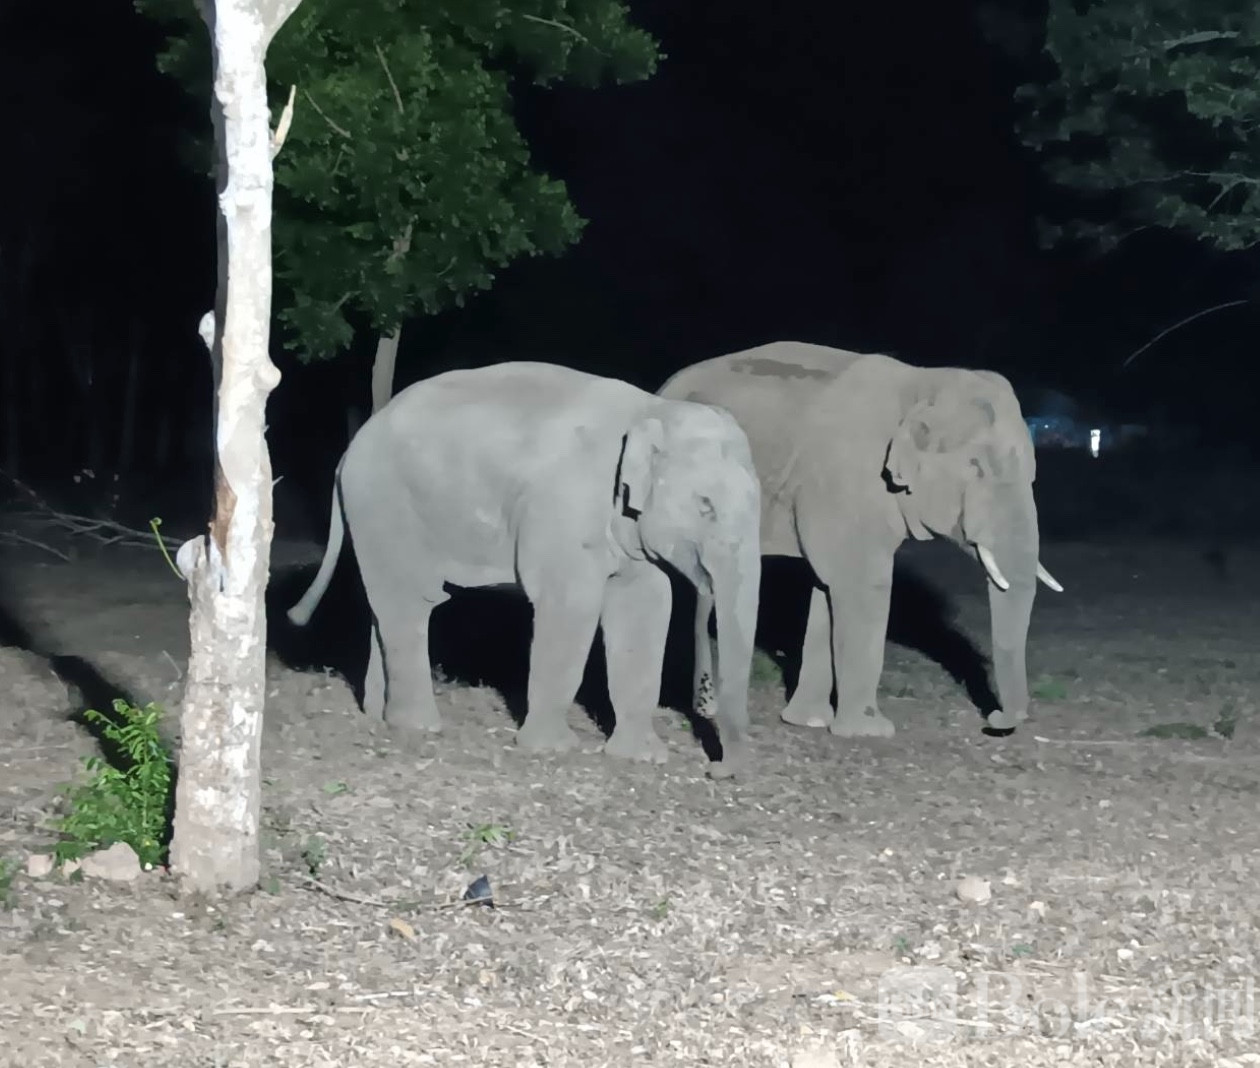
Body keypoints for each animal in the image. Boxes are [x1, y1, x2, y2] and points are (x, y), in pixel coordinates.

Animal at [286, 361, 762, 777]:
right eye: (706, 505)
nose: (716, 769)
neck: (652, 410)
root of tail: (348, 453)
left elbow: (646, 605)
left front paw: (642, 756)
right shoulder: (565, 505)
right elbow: (571, 605)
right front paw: (552, 749)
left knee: (387, 603)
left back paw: (377, 714)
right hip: (383, 502)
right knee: (411, 600)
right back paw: (419, 725)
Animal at [657, 340, 1062, 737]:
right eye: (977, 468)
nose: (994, 719)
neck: (923, 385)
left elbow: (828, 587)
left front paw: (811, 722)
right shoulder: (845, 478)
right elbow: (862, 584)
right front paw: (870, 731)